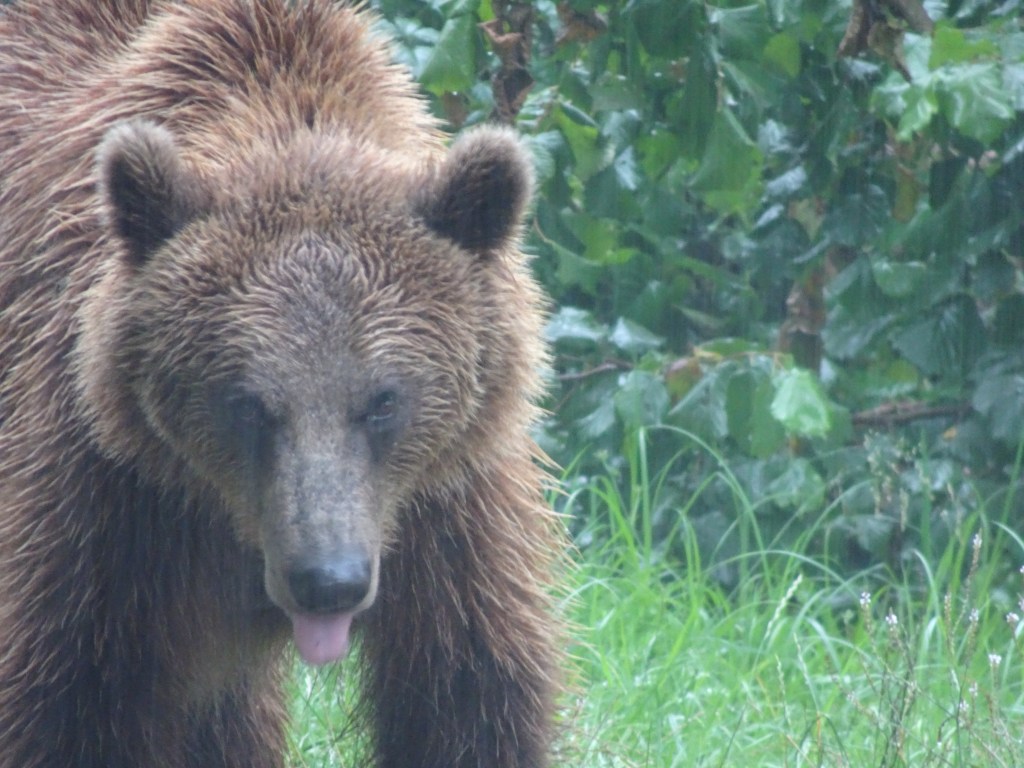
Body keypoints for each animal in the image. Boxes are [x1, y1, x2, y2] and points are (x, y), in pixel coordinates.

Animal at [0, 1, 564, 767]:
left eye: (383, 400)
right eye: (247, 403)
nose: (329, 582)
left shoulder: (446, 509)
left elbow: (465, 692)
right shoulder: (111, 504)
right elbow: (72, 700)